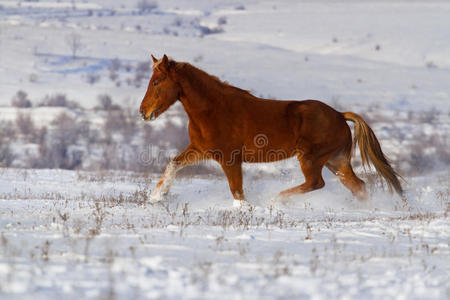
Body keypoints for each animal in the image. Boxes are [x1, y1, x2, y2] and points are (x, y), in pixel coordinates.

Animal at [139, 54, 402, 207]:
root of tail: (338, 115)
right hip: (335, 161)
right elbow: (173, 164)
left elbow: (237, 191)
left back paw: (276, 200)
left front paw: (245, 210)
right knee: (358, 186)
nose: (143, 112)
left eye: (156, 82)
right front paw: (157, 197)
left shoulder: (230, 159)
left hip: (312, 158)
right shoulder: (200, 150)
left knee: (316, 183)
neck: (213, 109)